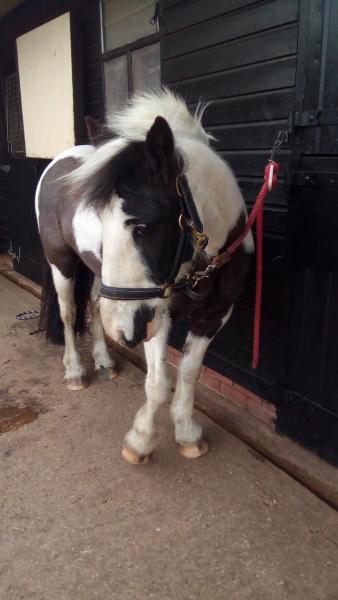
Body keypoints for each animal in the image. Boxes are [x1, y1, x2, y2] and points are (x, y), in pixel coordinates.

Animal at [37, 89, 254, 464]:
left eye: (141, 227)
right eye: (99, 219)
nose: (126, 332)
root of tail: (58, 160)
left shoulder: (213, 317)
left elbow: (189, 374)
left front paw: (187, 433)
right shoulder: (155, 316)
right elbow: (157, 382)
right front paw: (140, 440)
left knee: (94, 305)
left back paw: (104, 360)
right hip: (61, 261)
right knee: (68, 312)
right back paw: (76, 371)